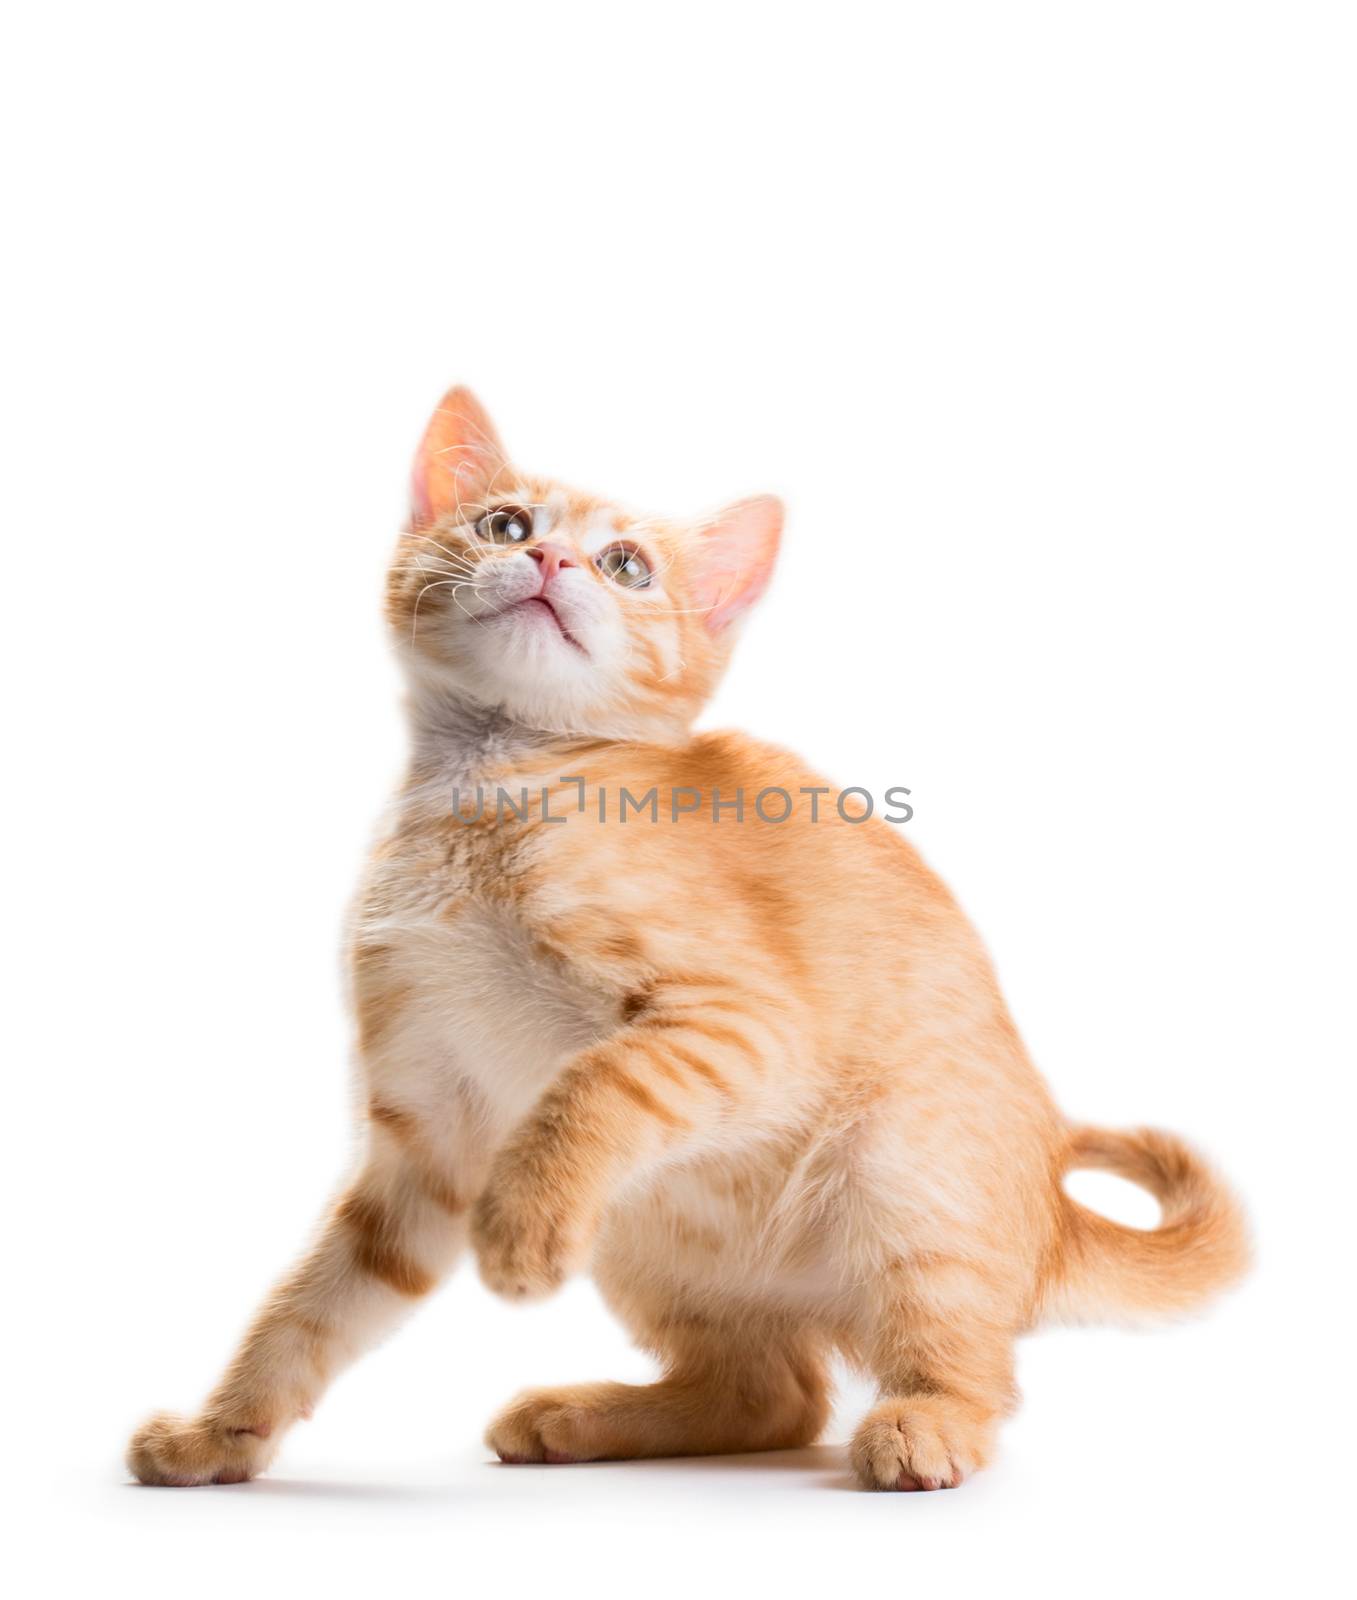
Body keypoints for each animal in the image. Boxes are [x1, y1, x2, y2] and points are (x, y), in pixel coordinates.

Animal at [127, 384, 1248, 1484]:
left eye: (626, 564)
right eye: (505, 524)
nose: (551, 560)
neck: (486, 796)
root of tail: (1048, 1219)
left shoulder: (741, 1022)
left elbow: (591, 1084)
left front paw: (522, 1226)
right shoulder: (427, 1135)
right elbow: (312, 1301)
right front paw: (217, 1433)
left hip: (903, 1173)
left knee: (959, 1371)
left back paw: (925, 1422)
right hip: (648, 1237)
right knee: (774, 1395)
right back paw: (583, 1417)